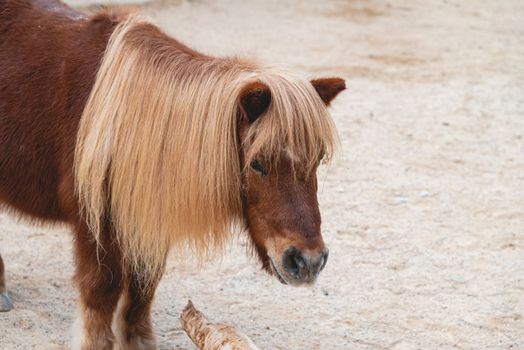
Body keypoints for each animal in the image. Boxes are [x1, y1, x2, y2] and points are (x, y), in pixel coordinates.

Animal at [0, 0, 346, 348]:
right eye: (258, 163)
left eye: (318, 159)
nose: (308, 261)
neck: (129, 125)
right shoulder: (95, 228)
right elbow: (101, 294)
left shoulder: (146, 224)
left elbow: (143, 288)